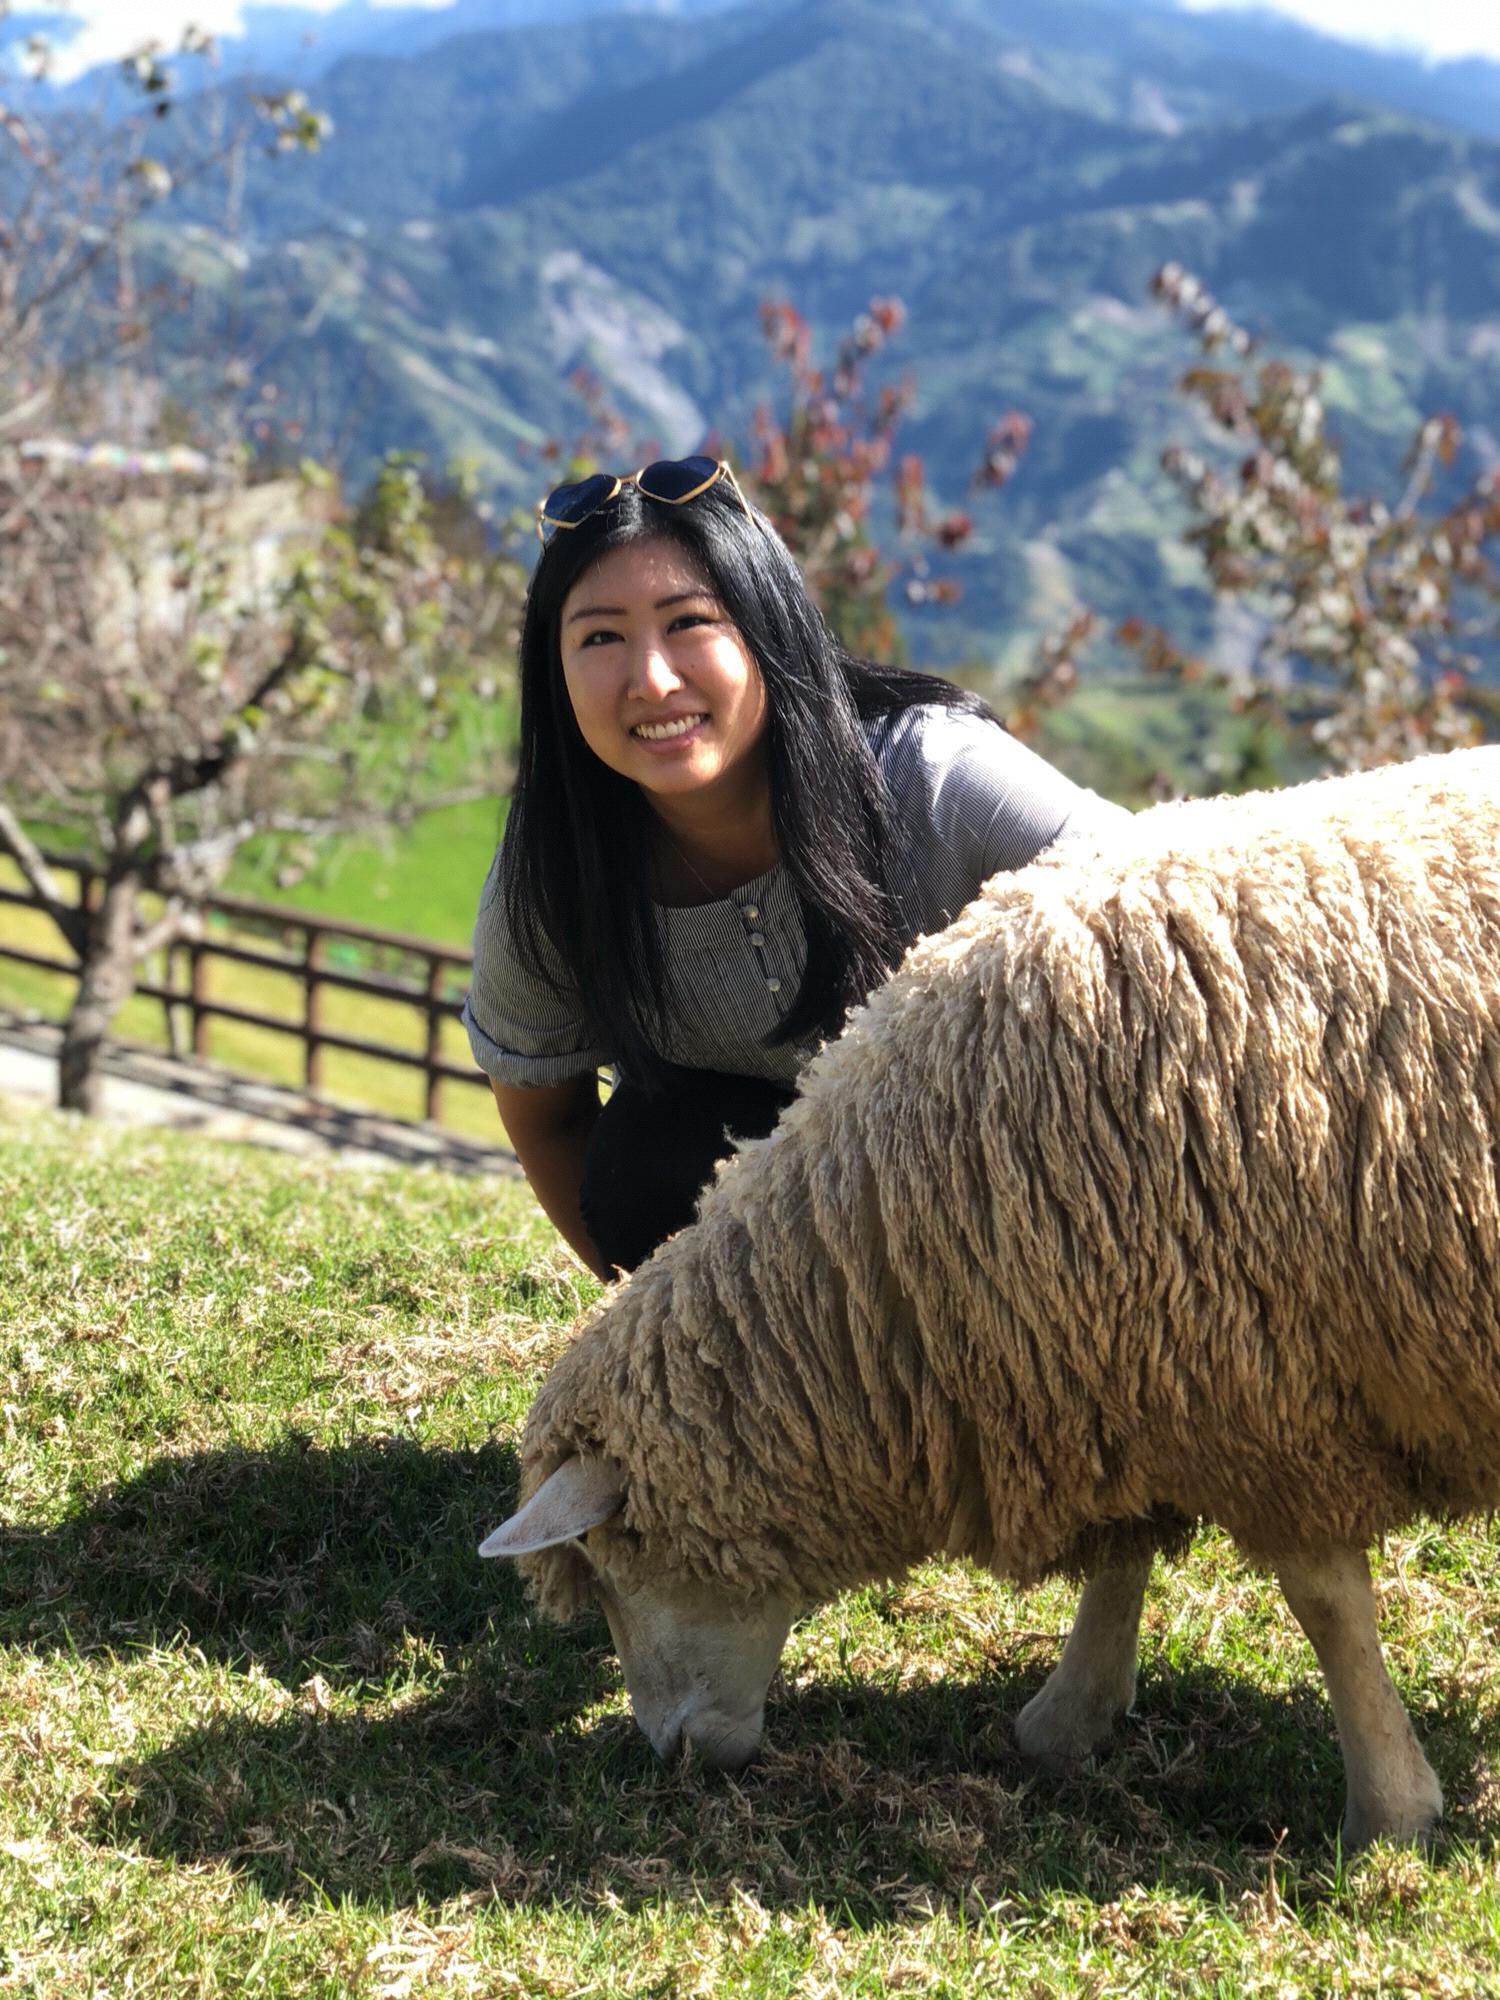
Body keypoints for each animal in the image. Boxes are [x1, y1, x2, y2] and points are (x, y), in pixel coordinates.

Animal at [481, 745, 1500, 1849]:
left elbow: (1325, 1604)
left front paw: (1390, 1809)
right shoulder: (1132, 1349)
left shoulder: (1260, 1391)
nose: (671, 1754)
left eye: (615, 1563)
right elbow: (1124, 1552)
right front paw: (1070, 1719)